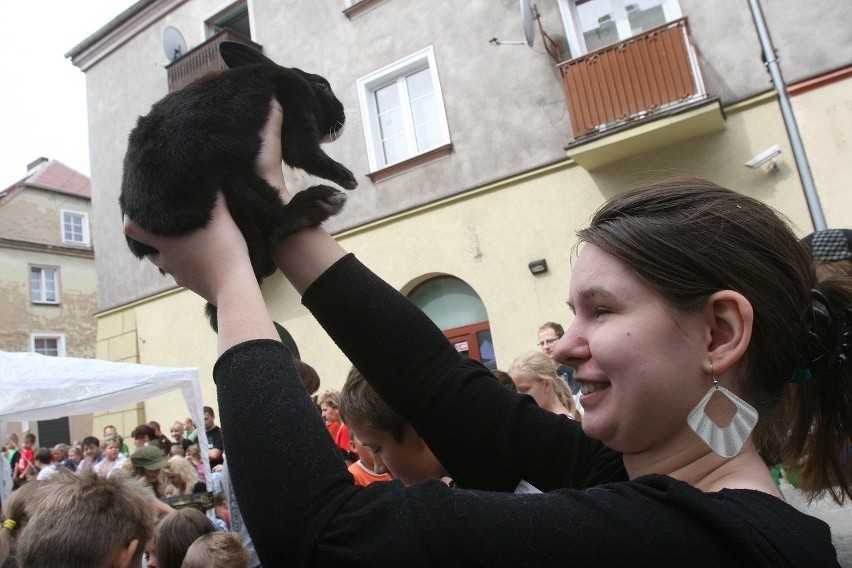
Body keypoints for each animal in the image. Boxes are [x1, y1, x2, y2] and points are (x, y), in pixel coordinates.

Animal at [118, 41, 354, 328]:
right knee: (274, 224)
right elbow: (306, 153)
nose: (342, 117)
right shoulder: (295, 101)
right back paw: (321, 201)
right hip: (233, 183)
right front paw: (347, 177)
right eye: (322, 86)